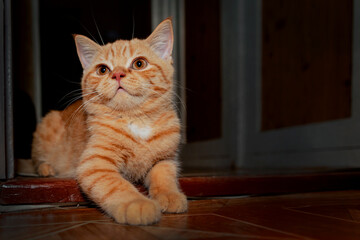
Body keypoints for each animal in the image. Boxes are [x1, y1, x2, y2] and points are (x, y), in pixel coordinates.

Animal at [30, 18, 187, 225]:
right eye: (103, 69)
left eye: (139, 63)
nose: (117, 74)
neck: (136, 120)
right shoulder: (96, 164)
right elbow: (117, 185)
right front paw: (137, 204)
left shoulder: (165, 159)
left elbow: (165, 176)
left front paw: (170, 196)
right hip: (48, 124)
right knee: (37, 160)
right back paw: (47, 168)